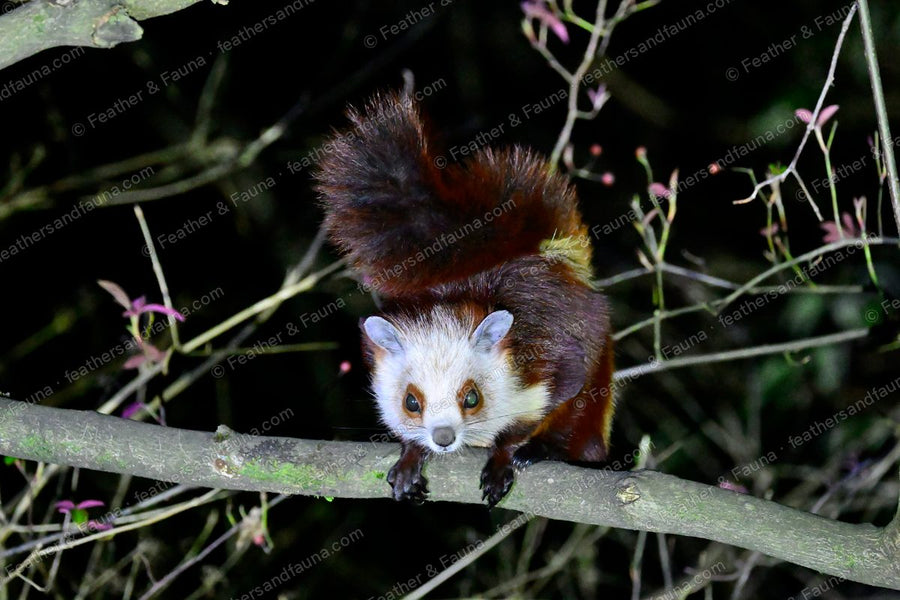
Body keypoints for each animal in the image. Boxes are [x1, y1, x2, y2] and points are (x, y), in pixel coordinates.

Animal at [315, 92, 615, 508]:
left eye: (471, 397)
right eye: (411, 402)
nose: (443, 438)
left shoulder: (555, 361)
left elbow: (558, 395)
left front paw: (507, 455)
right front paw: (411, 457)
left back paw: (550, 449)